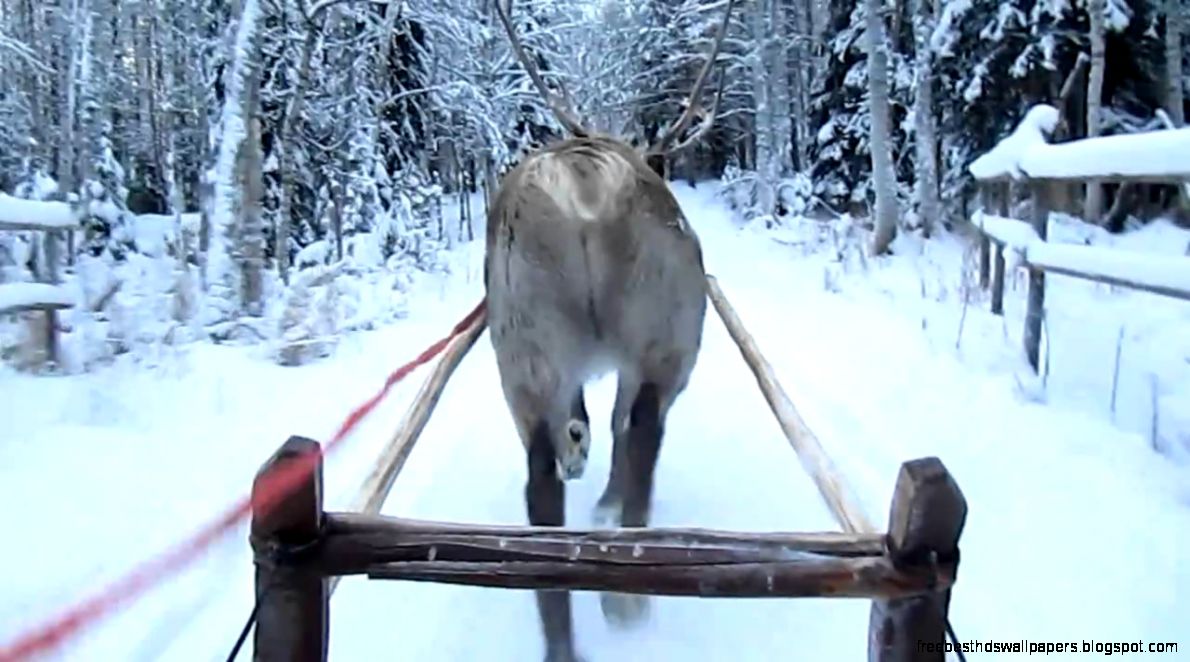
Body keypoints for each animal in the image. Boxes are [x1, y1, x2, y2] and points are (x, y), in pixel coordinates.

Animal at [484, 1, 737, 660]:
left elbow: (584, 420)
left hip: (522, 342)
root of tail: (583, 184)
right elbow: (624, 426)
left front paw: (581, 454)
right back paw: (627, 589)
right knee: (642, 427)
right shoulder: (642, 357)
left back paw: (564, 642)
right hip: (666, 334)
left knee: (541, 480)